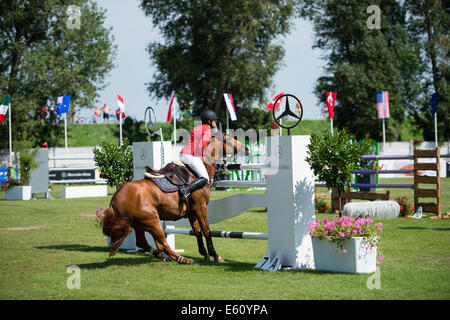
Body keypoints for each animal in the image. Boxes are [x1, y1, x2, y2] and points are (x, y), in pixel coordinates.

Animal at [100, 134, 248, 264]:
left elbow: (197, 232)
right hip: (153, 221)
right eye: (230, 139)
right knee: (162, 244)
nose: (246, 148)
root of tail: (115, 200)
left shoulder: (192, 212)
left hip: (139, 224)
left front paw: (205, 255)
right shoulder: (200, 208)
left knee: (142, 242)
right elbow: (206, 230)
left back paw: (162, 256)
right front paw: (215, 256)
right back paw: (183, 259)